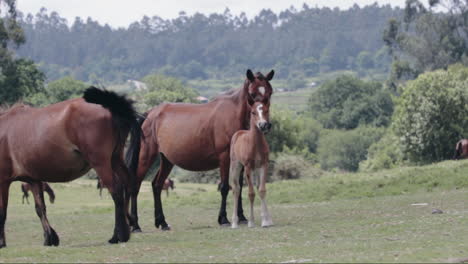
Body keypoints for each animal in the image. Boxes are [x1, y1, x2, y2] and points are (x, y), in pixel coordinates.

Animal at [0, 87, 142, 249]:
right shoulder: (34, 180)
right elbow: (40, 208)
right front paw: (50, 238)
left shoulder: (3, 181)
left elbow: (2, 212)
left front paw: (2, 242)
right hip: (115, 159)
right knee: (127, 185)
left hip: (101, 164)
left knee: (116, 191)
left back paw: (118, 236)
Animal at [230, 101, 274, 229]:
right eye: (253, 112)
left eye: (266, 110)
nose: (263, 125)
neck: (255, 144)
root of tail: (238, 133)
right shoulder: (248, 167)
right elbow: (251, 193)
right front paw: (251, 222)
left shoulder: (264, 165)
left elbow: (262, 190)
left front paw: (266, 221)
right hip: (236, 166)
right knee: (236, 189)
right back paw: (234, 223)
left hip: (256, 169)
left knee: (257, 186)